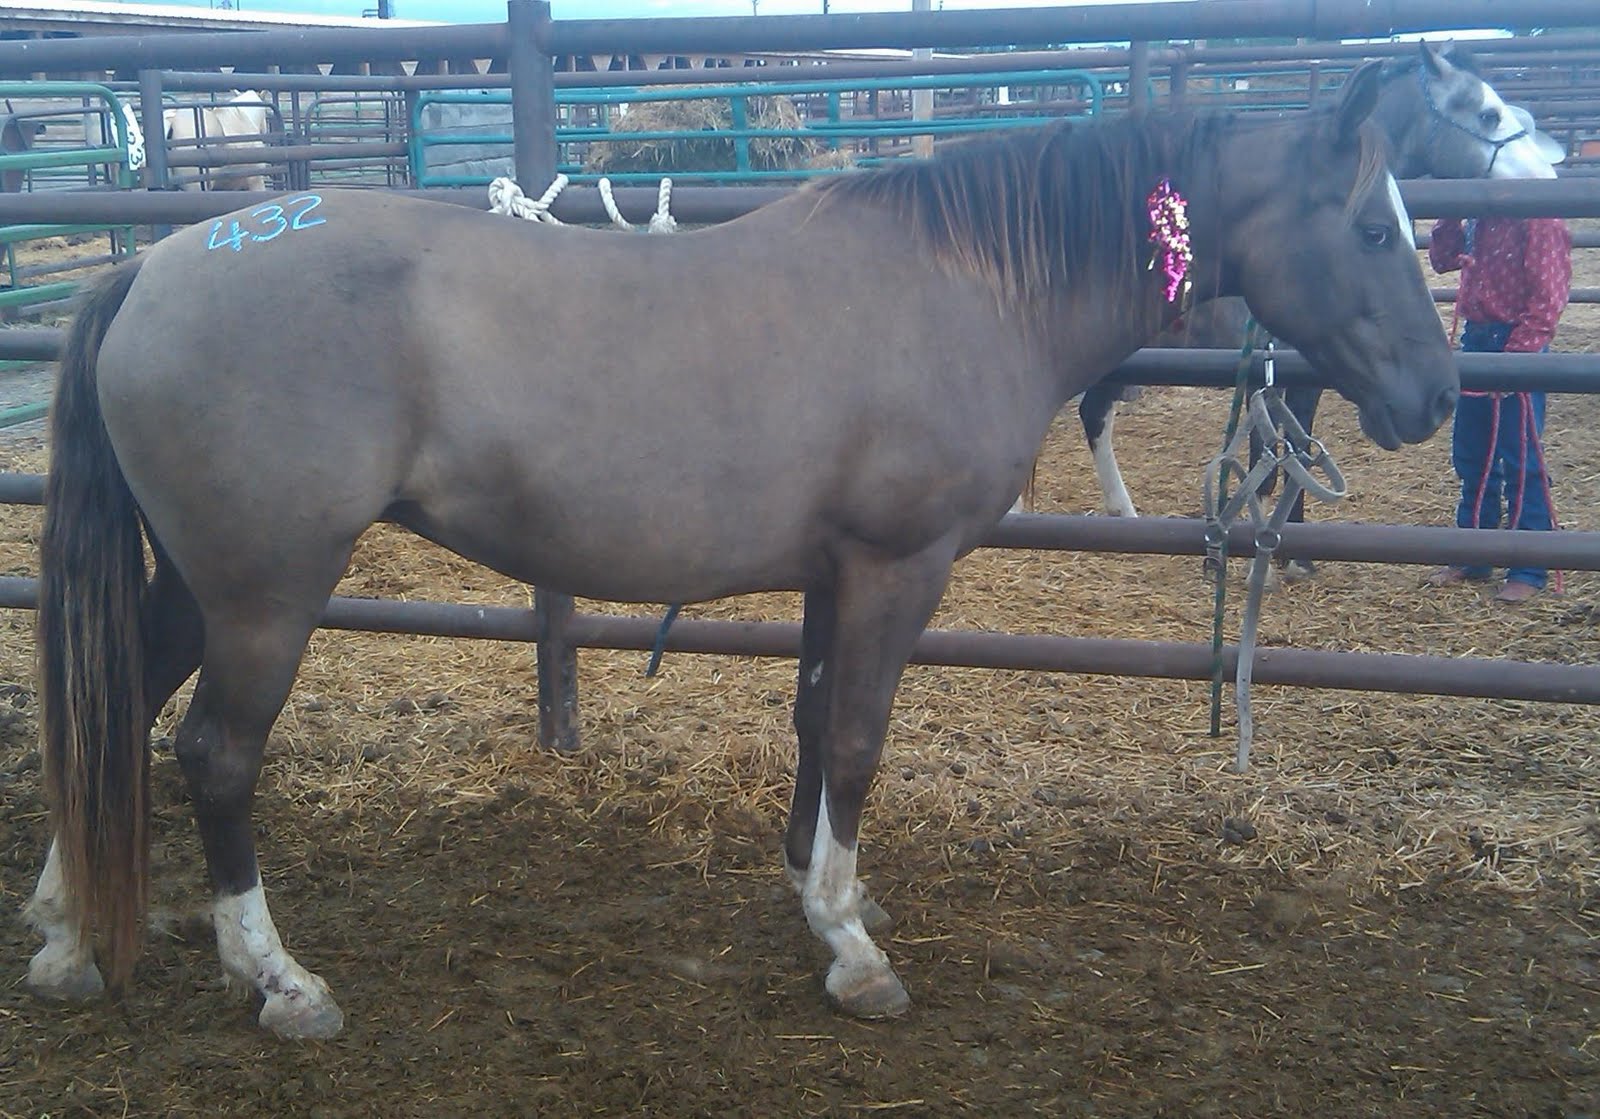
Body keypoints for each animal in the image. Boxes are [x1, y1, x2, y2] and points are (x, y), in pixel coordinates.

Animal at [23, 61, 1456, 1037]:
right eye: (1372, 228)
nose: (1432, 397)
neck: (965, 285)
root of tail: (156, 267)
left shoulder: (831, 575)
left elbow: (816, 724)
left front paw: (820, 897)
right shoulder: (894, 568)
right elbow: (861, 738)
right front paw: (853, 950)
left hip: (198, 585)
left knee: (114, 704)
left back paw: (67, 932)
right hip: (266, 595)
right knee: (212, 754)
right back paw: (276, 977)